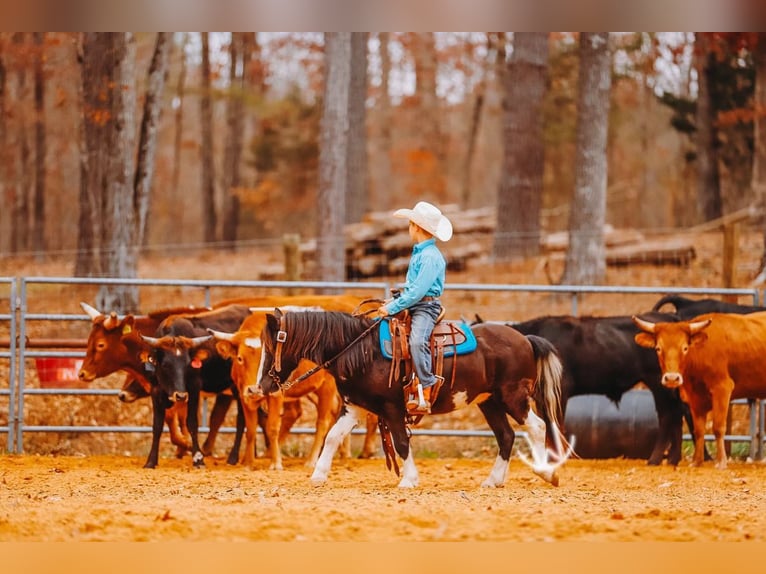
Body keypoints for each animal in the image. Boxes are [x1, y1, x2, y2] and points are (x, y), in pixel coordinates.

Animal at [255, 308, 572, 488]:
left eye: (271, 347)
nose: (261, 386)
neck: (360, 350)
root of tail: (525, 338)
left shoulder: (393, 408)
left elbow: (401, 443)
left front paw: (408, 479)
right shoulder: (354, 407)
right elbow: (333, 437)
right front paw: (318, 476)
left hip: (513, 397)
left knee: (537, 426)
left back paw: (547, 473)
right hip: (488, 401)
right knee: (506, 436)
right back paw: (493, 481)